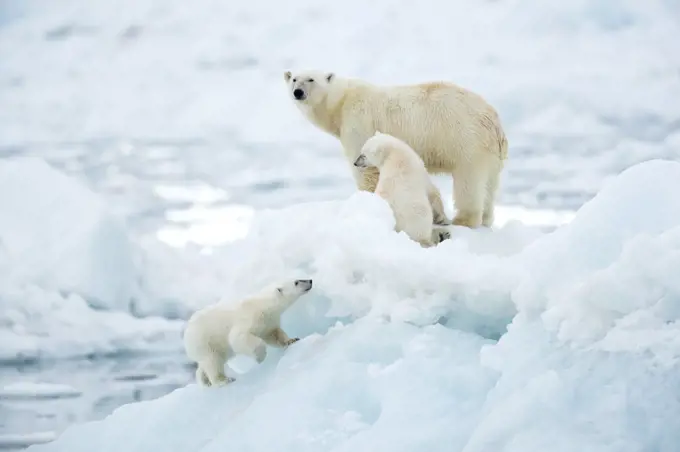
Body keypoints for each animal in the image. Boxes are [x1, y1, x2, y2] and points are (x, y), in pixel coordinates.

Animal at [182, 278, 312, 386]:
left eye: (298, 278)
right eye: (296, 282)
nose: (310, 281)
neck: (264, 305)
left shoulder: (268, 322)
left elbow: (274, 334)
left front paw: (292, 340)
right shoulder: (249, 318)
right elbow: (238, 338)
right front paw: (260, 357)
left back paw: (205, 381)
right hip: (204, 341)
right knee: (213, 361)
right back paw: (223, 380)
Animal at [282, 70, 510, 230]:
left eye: (311, 79)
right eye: (294, 79)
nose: (298, 92)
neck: (341, 102)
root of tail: (495, 121)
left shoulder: (358, 121)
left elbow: (366, 169)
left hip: (465, 140)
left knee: (468, 182)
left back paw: (463, 220)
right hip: (489, 152)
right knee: (489, 184)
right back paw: (486, 219)